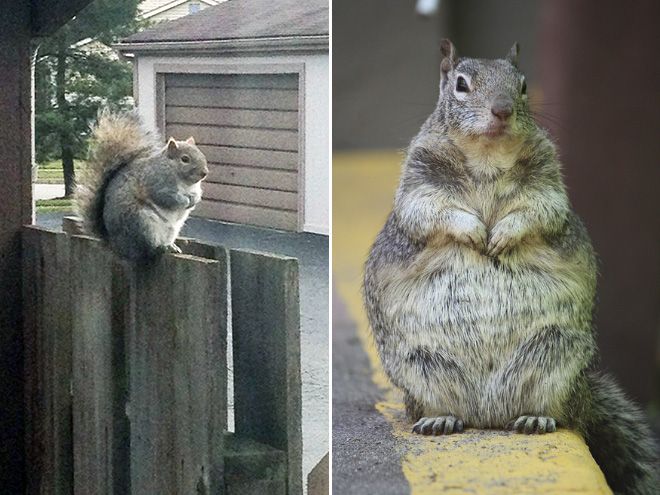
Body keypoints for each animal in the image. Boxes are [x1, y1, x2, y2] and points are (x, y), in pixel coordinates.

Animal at [72, 110, 208, 262]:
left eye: (201, 154)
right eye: (185, 159)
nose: (204, 173)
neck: (185, 182)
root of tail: (116, 246)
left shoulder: (194, 188)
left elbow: (197, 194)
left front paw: (194, 200)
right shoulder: (156, 182)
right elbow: (165, 197)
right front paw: (184, 201)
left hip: (170, 230)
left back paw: (171, 246)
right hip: (142, 223)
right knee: (148, 249)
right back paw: (162, 247)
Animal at [364, 40, 656, 494]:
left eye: (522, 85)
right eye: (461, 84)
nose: (501, 110)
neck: (487, 155)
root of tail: (488, 416)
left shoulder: (547, 185)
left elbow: (538, 210)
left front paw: (501, 235)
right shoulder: (420, 182)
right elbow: (431, 211)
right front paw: (473, 233)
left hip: (555, 354)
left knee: (555, 410)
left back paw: (535, 418)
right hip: (420, 365)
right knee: (442, 407)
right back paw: (440, 419)